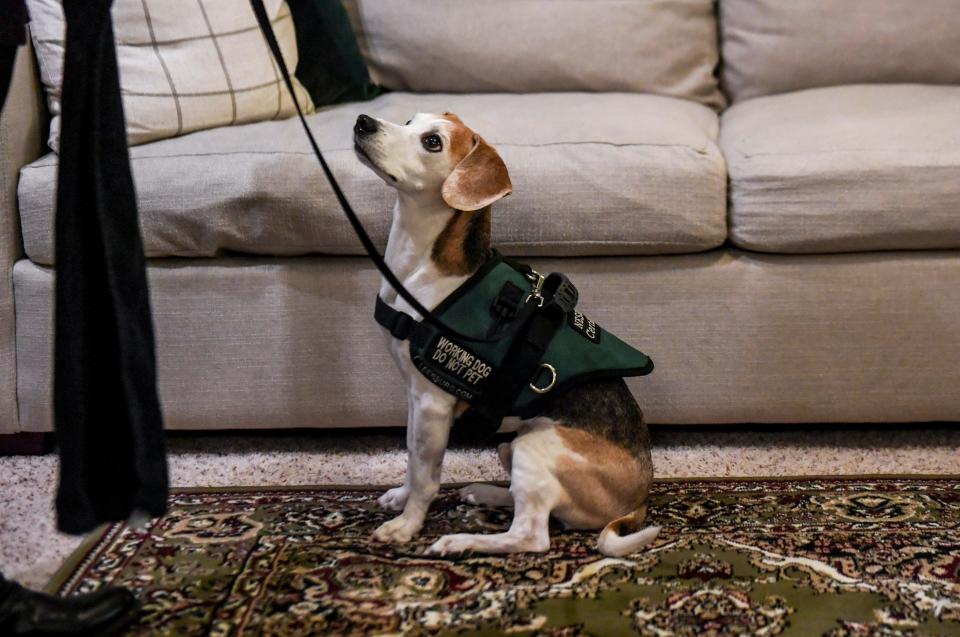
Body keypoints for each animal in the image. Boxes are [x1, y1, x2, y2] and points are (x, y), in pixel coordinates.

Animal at [352, 112, 660, 556]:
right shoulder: (415, 398)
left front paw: (407, 526)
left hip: (536, 445)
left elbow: (426, 475)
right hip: (511, 442)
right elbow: (411, 457)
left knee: (531, 536)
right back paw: (483, 493)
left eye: (432, 142)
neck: (420, 269)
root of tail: (638, 498)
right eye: (410, 120)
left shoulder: (432, 404)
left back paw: (459, 540)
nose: (363, 122)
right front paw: (401, 498)